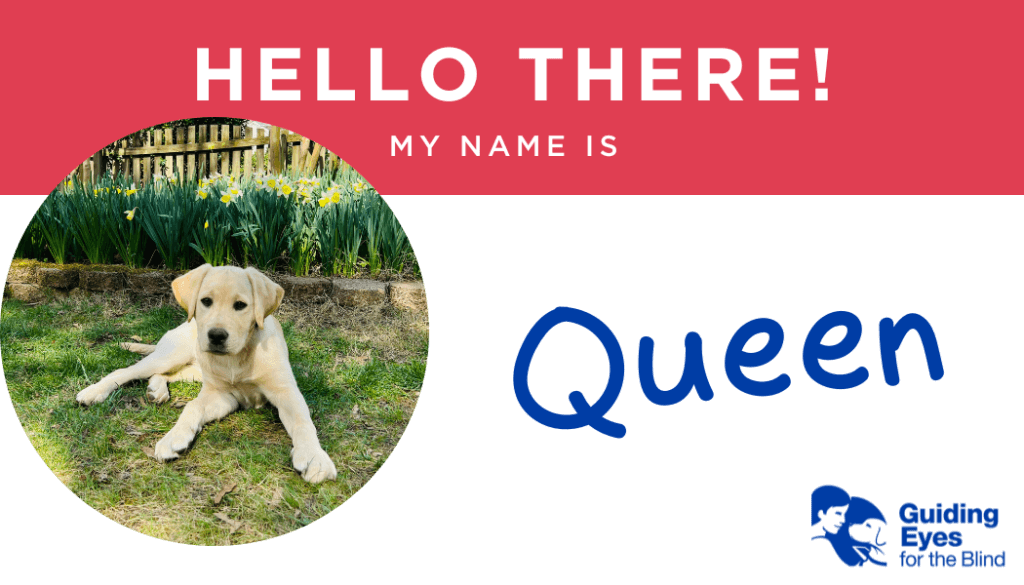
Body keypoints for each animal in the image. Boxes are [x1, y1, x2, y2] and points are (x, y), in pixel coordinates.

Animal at [77, 266, 339, 485]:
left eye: (240, 305)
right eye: (206, 301)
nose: (216, 336)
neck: (239, 357)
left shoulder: (284, 392)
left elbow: (303, 422)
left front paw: (314, 457)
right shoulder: (221, 394)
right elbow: (192, 406)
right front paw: (173, 437)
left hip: (194, 371)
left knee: (164, 374)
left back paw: (156, 390)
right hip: (172, 355)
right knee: (127, 371)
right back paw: (93, 392)